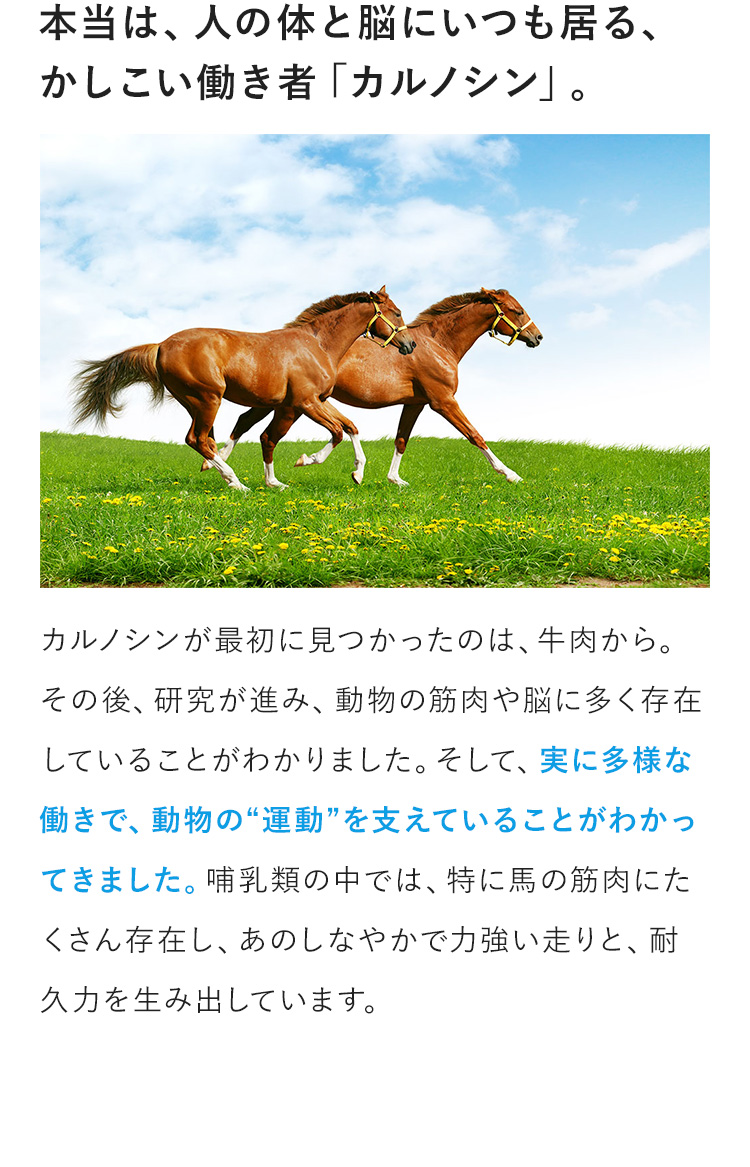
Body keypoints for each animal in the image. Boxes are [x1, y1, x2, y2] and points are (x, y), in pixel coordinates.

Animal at [71, 287, 416, 490]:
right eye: (397, 312)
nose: (410, 344)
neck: (317, 345)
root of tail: (160, 346)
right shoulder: (305, 403)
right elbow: (334, 433)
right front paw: (305, 461)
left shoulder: (316, 400)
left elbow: (350, 427)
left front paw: (357, 473)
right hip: (208, 398)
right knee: (198, 439)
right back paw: (235, 482)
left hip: (195, 402)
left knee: (205, 440)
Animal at [205, 288, 542, 486]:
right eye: (518, 310)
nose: (537, 337)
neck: (438, 344)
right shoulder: (443, 401)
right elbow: (475, 435)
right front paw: (511, 474)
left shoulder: (415, 403)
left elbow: (401, 440)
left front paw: (394, 479)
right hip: (290, 404)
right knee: (255, 428)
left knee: (245, 422)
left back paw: (216, 465)